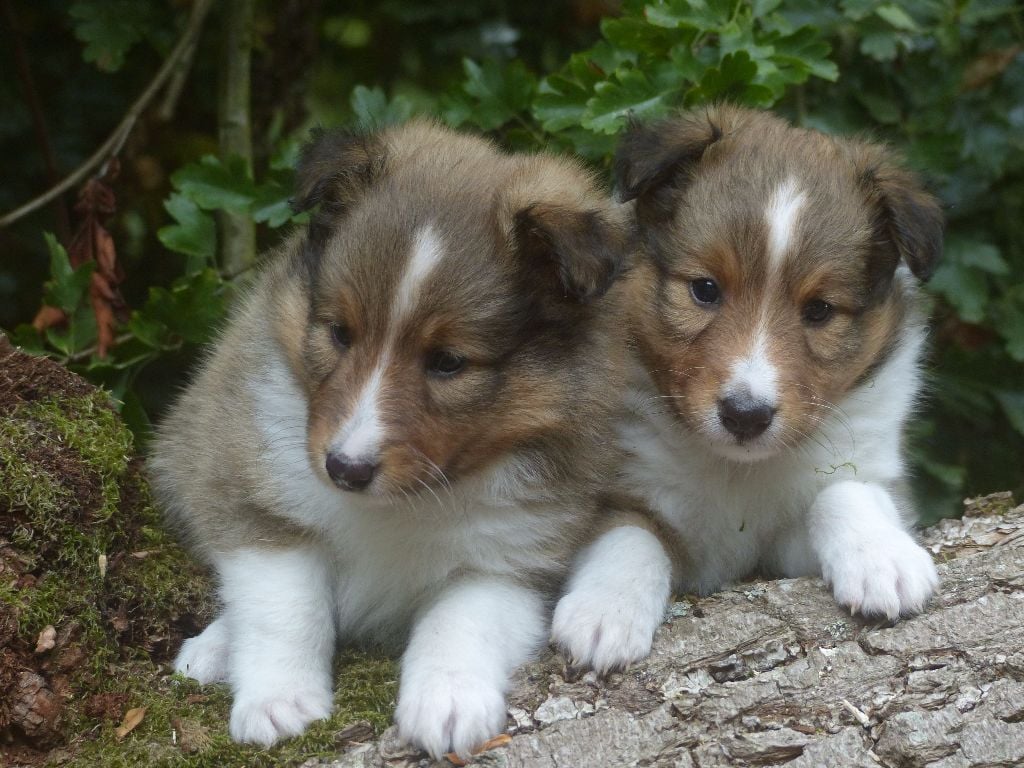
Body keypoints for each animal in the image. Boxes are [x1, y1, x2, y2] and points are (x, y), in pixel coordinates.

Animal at [149, 120, 630, 757]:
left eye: (448, 362)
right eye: (339, 332)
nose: (344, 469)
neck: (401, 504)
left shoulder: (515, 557)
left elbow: (461, 620)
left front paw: (448, 704)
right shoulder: (253, 493)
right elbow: (285, 606)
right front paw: (279, 702)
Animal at [552, 107, 942, 671]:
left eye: (819, 310)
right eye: (705, 289)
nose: (745, 415)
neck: (736, 471)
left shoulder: (793, 543)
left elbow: (844, 491)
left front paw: (883, 560)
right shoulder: (606, 496)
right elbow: (630, 535)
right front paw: (604, 611)